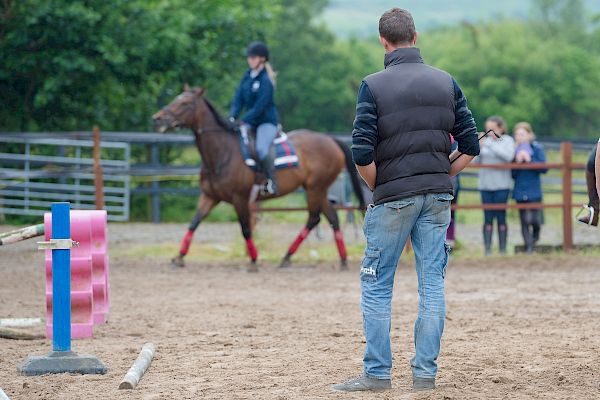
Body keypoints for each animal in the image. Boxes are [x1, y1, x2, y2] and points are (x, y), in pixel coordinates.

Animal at [150, 86, 366, 270]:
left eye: (186, 103)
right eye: (175, 98)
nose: (158, 119)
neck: (223, 152)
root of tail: (330, 139)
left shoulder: (240, 198)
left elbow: (245, 228)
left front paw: (253, 260)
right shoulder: (210, 197)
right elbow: (194, 223)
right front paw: (179, 257)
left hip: (315, 188)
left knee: (314, 218)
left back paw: (288, 256)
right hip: (317, 190)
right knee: (332, 217)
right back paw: (339, 259)